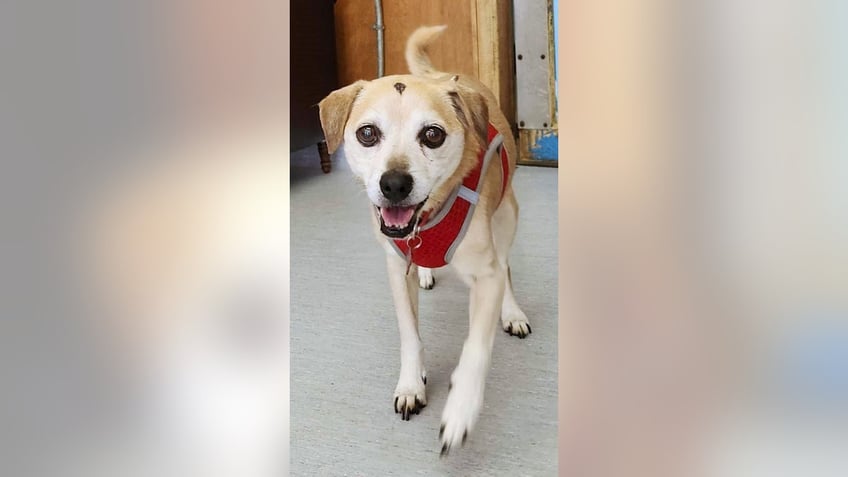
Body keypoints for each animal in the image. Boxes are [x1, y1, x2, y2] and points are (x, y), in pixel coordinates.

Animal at [318, 23, 528, 454]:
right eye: (367, 134)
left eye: (432, 135)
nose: (394, 184)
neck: (424, 223)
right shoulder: (397, 270)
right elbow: (409, 334)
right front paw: (412, 384)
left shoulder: (486, 277)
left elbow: (475, 348)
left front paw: (461, 409)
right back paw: (429, 274)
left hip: (506, 215)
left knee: (507, 266)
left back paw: (513, 311)